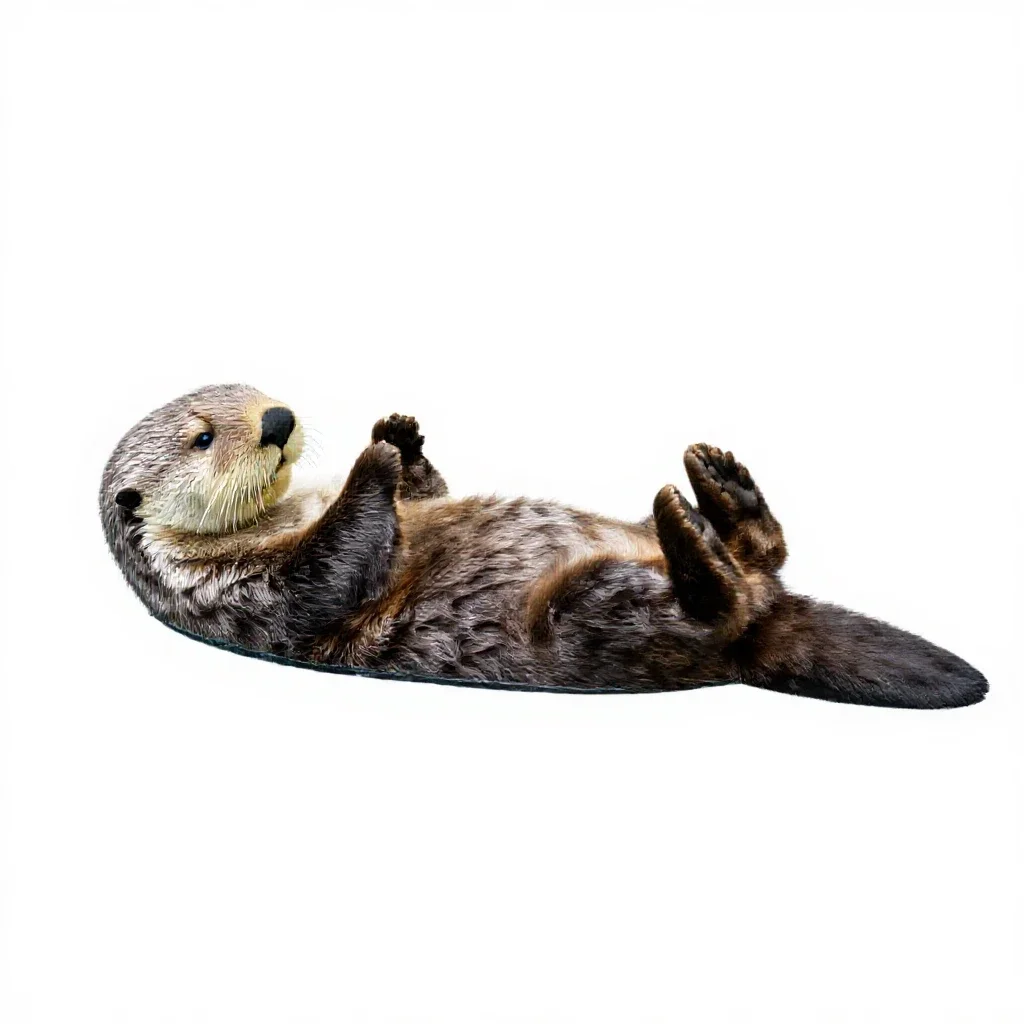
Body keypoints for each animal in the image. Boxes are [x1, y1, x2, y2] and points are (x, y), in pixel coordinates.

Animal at [99, 384, 987, 708]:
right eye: (204, 436)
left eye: (249, 392)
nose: (278, 420)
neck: (282, 516)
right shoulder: (247, 593)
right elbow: (336, 569)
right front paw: (372, 461)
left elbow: (426, 494)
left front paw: (398, 434)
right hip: (598, 614)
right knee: (718, 606)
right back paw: (692, 532)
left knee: (761, 555)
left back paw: (719, 485)